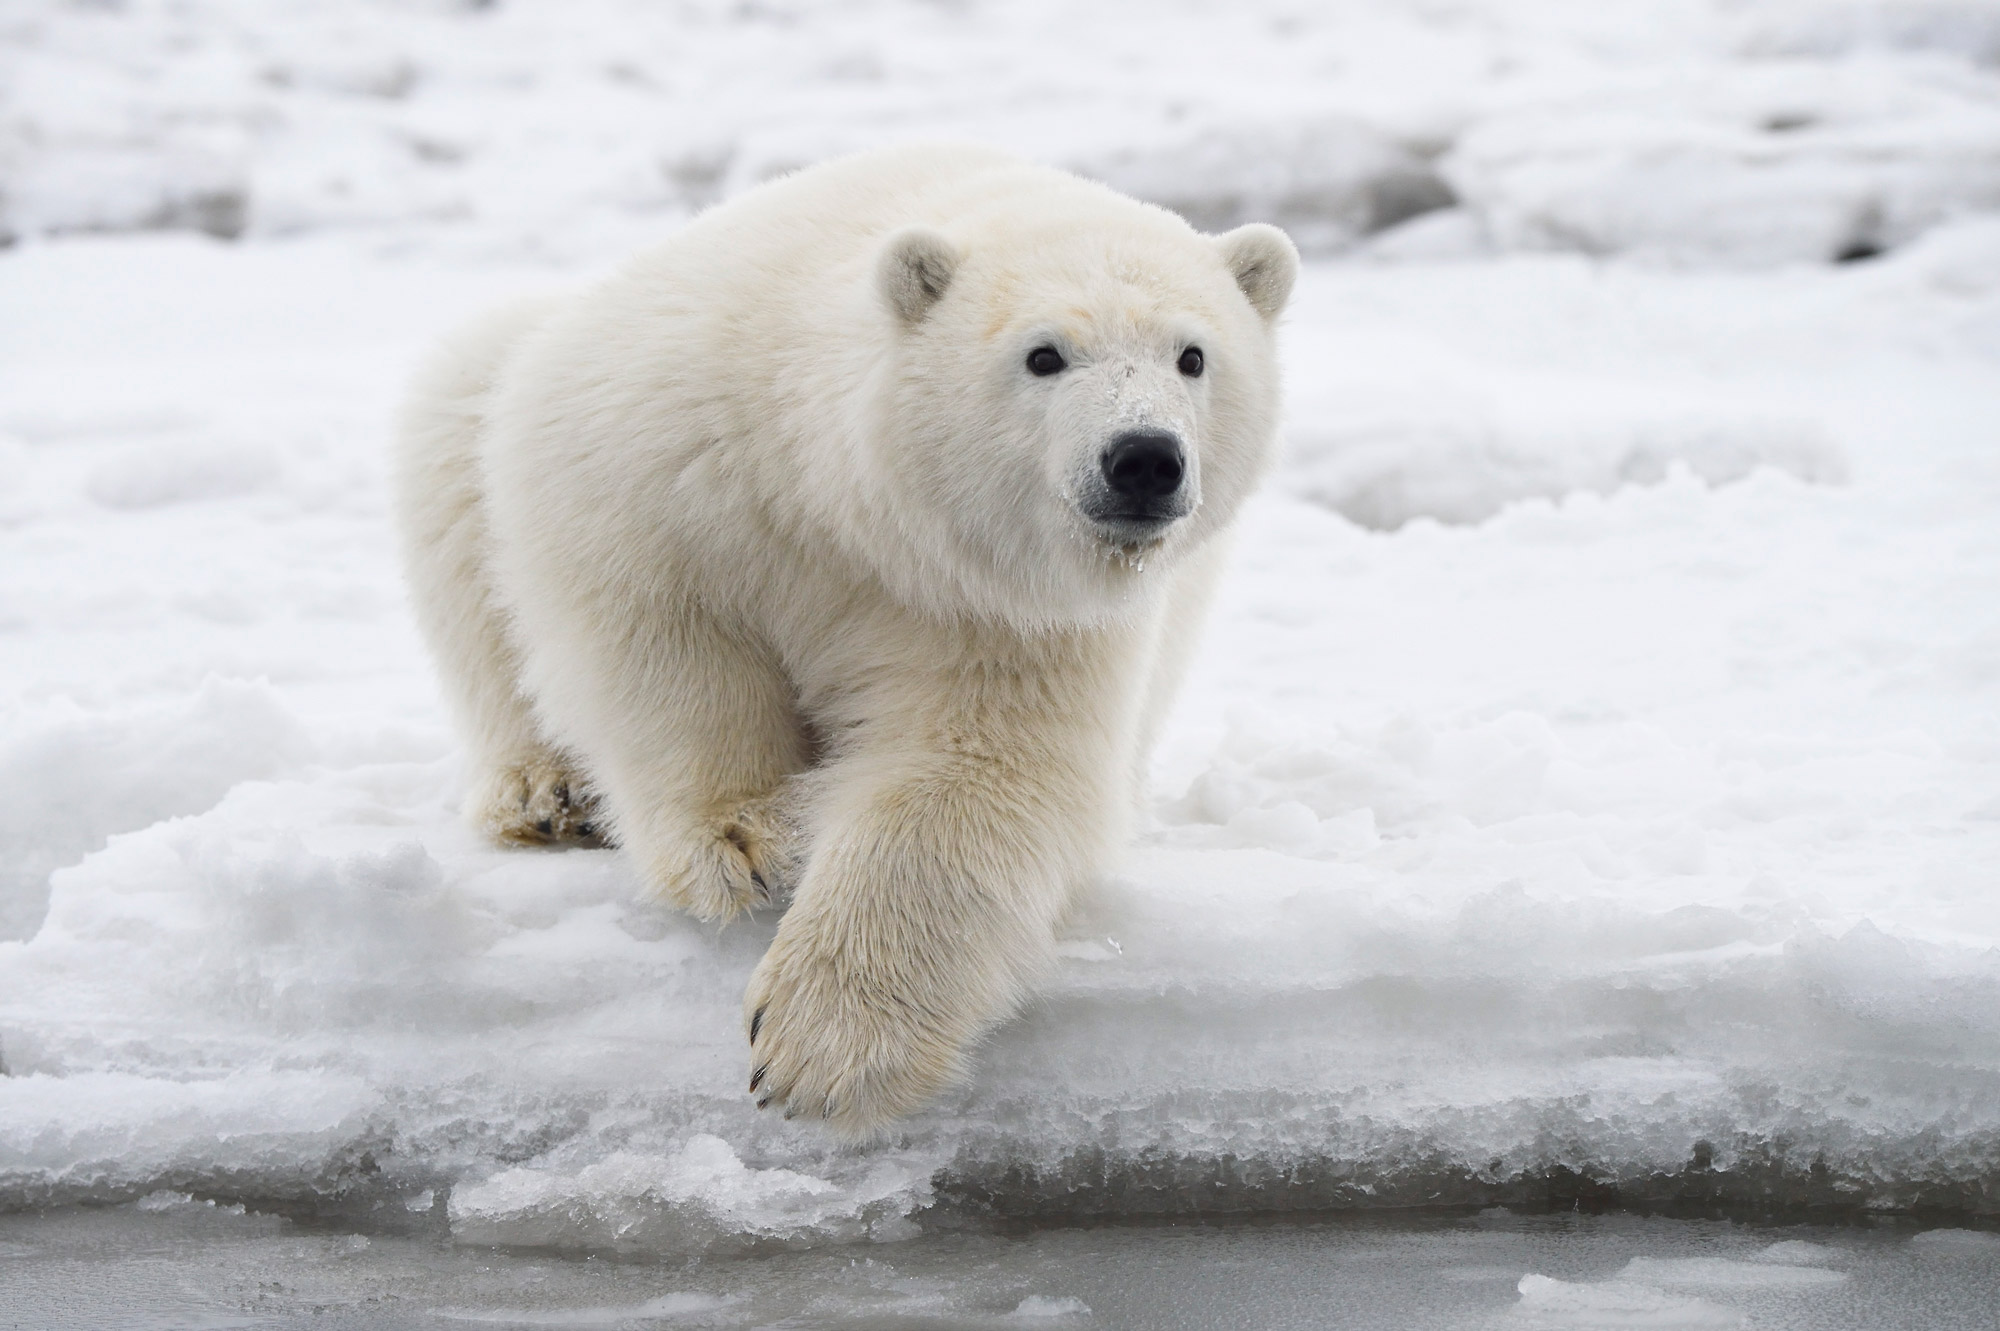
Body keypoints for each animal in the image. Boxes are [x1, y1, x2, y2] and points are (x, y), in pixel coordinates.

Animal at [394, 142, 1296, 1127]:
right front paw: (743, 839)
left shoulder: (1006, 614)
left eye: (1193, 355)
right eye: (1044, 354)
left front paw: (821, 1042)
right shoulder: (677, 447)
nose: (1143, 458)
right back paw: (543, 792)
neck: (855, 508)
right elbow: (655, 626)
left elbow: (976, 774)